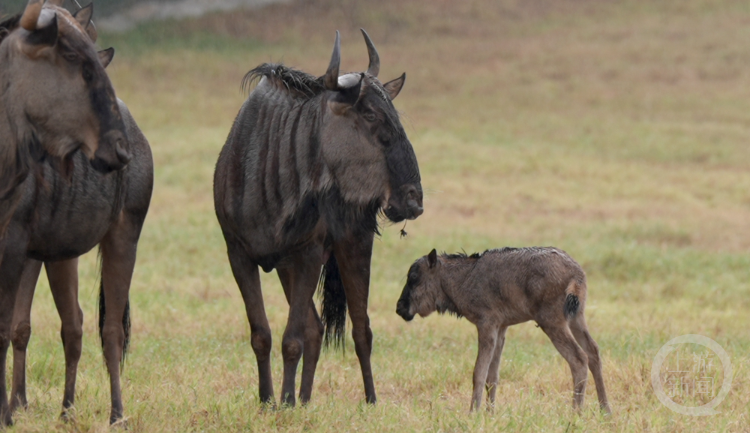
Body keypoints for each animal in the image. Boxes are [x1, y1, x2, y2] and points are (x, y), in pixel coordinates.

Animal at [400, 246, 612, 412]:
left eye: (413, 278)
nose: (399, 308)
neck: (463, 278)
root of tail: (576, 273)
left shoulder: (486, 325)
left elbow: (479, 373)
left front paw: (473, 413)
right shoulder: (501, 328)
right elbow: (492, 376)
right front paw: (489, 413)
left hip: (552, 322)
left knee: (579, 359)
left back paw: (576, 413)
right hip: (576, 318)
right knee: (593, 352)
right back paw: (605, 410)